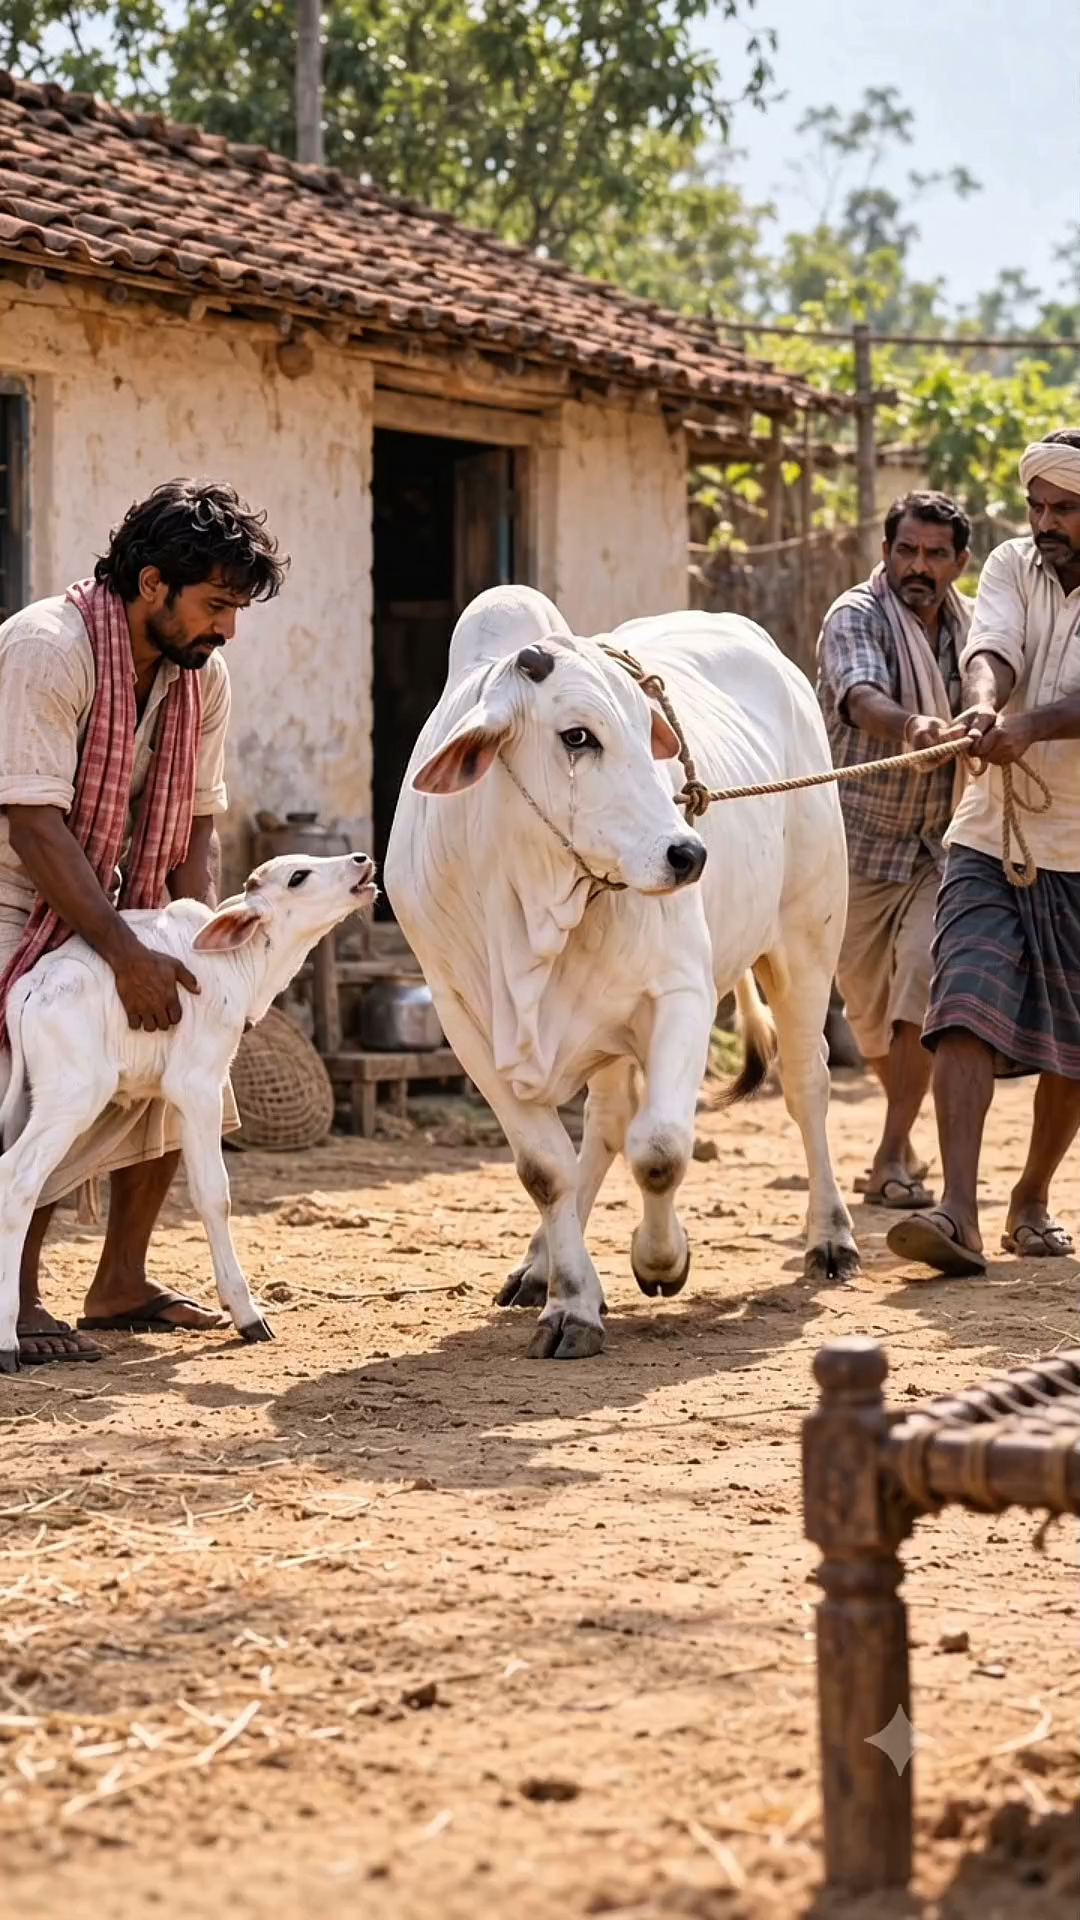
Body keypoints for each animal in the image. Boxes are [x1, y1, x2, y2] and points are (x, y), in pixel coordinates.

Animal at [385, 586, 859, 1360]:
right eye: (577, 736)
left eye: (646, 729)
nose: (688, 854)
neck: (532, 906)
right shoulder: (469, 1027)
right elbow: (546, 1169)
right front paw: (571, 1301)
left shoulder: (681, 994)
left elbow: (660, 1148)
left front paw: (661, 1259)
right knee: (604, 1122)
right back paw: (537, 1266)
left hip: (806, 941)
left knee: (806, 1083)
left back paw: (831, 1238)